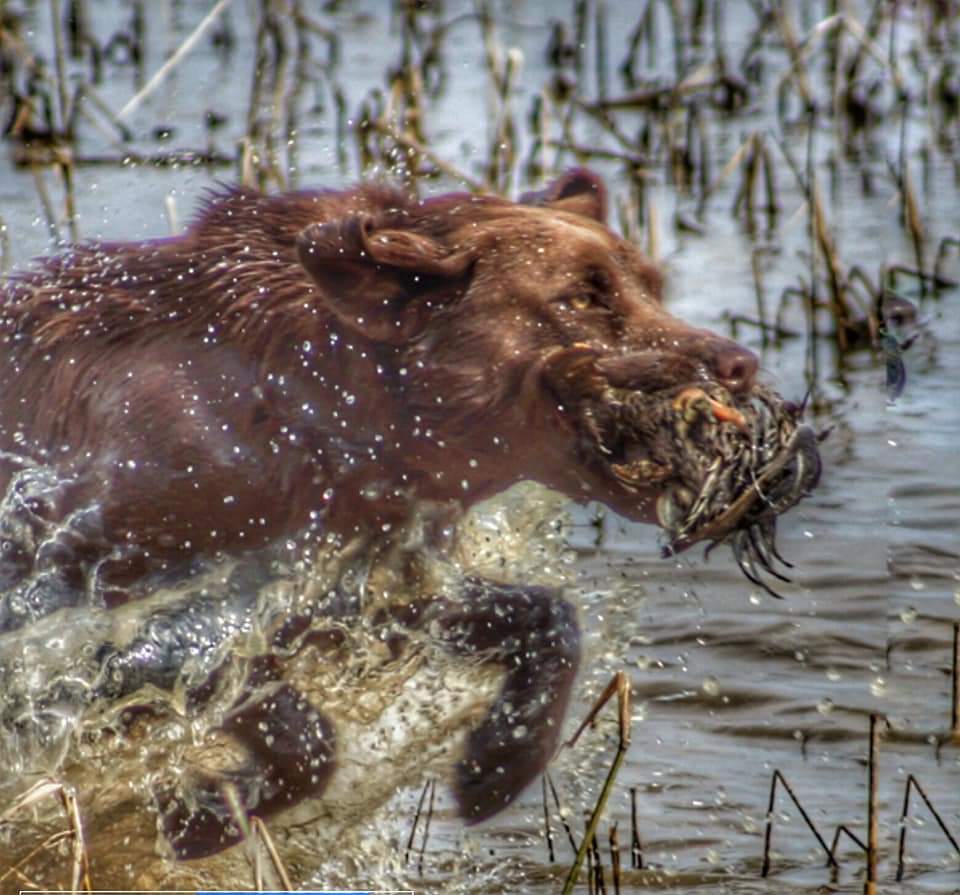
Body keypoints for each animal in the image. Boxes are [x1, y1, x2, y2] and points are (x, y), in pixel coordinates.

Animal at [0, 170, 816, 860]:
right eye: (582, 297)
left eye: (651, 287)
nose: (740, 364)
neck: (311, 407)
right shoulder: (104, 592)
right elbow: (275, 713)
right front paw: (201, 813)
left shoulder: (360, 583)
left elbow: (544, 617)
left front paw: (499, 764)